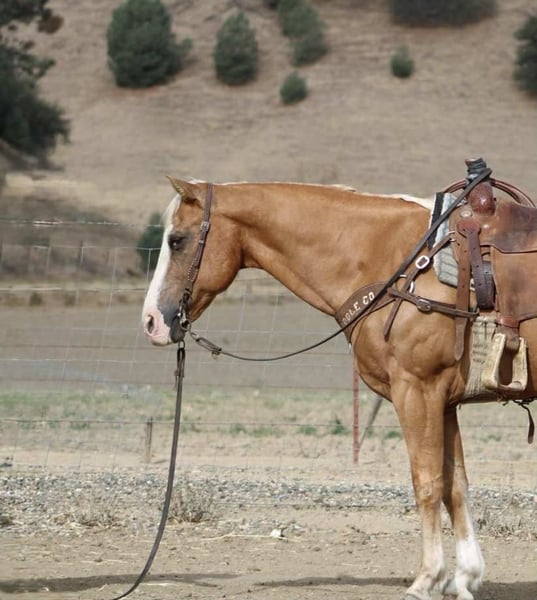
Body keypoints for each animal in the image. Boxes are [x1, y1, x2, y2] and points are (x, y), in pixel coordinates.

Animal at [142, 169, 536, 600]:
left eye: (177, 240)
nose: (151, 321)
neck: (399, 262)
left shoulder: (418, 391)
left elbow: (428, 483)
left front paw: (426, 578)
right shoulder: (444, 402)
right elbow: (455, 486)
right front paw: (464, 577)